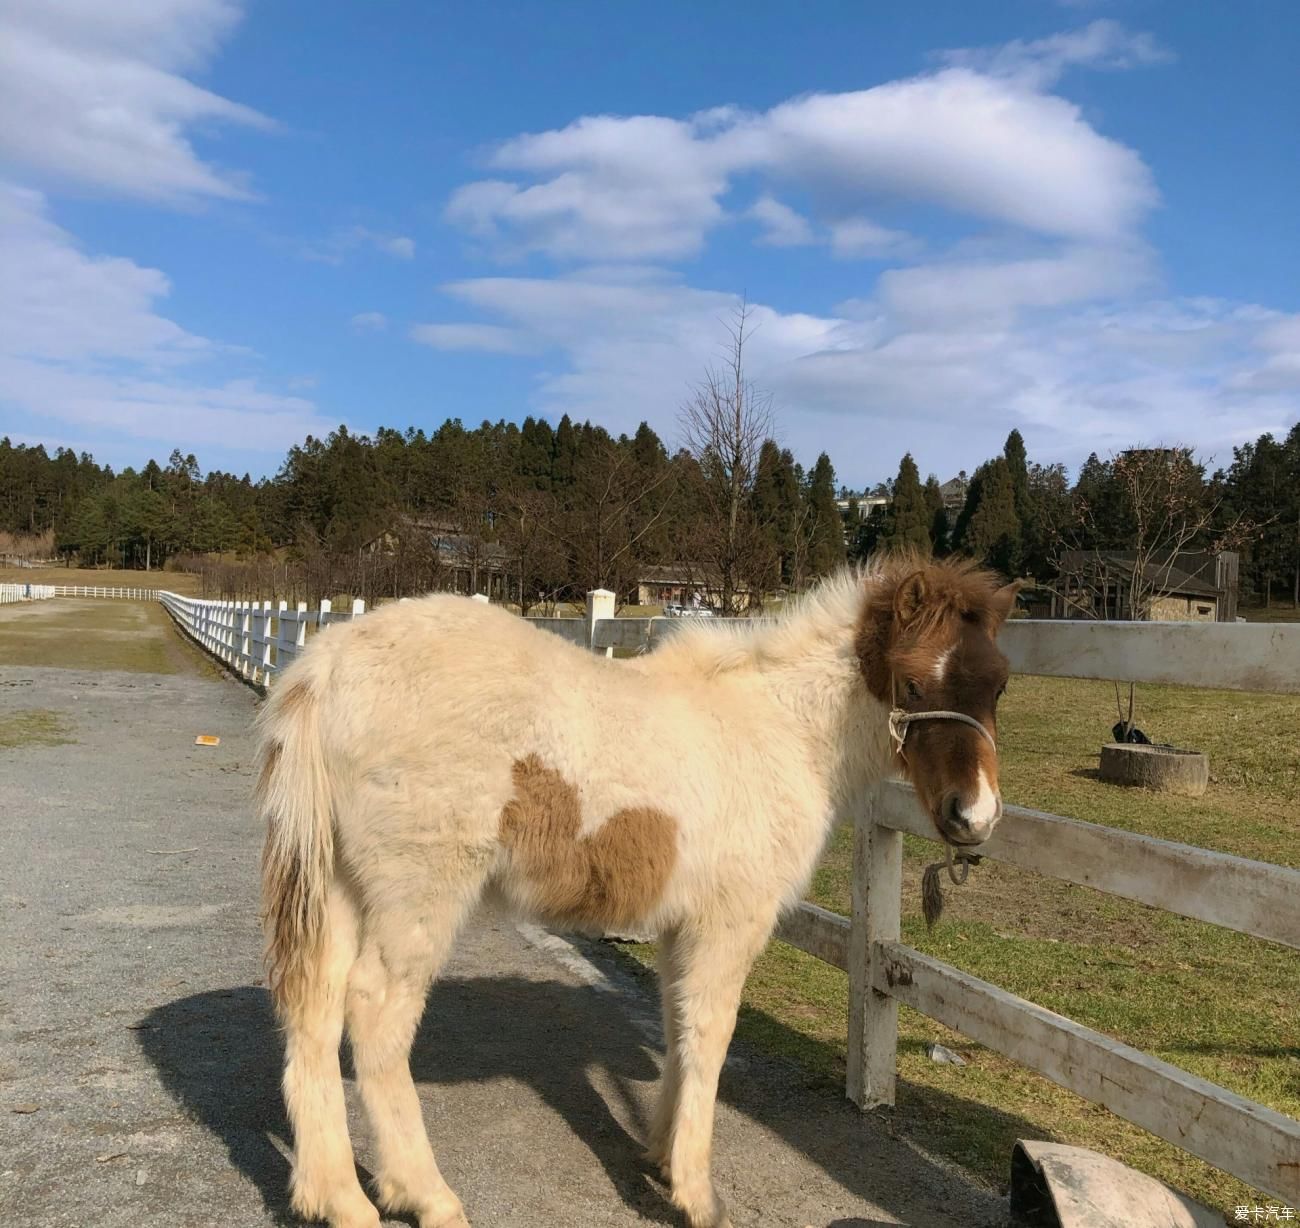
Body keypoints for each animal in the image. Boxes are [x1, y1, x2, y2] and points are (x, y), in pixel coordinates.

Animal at [258, 556, 1019, 1226]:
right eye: (913, 685)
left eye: (999, 686)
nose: (974, 817)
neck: (779, 729)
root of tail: (326, 666)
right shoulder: (730, 922)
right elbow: (711, 1032)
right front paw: (696, 1195)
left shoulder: (682, 925)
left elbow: (678, 1024)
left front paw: (659, 1156)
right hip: (419, 893)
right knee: (375, 1012)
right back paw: (425, 1197)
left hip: (340, 886)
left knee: (314, 1006)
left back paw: (338, 1200)